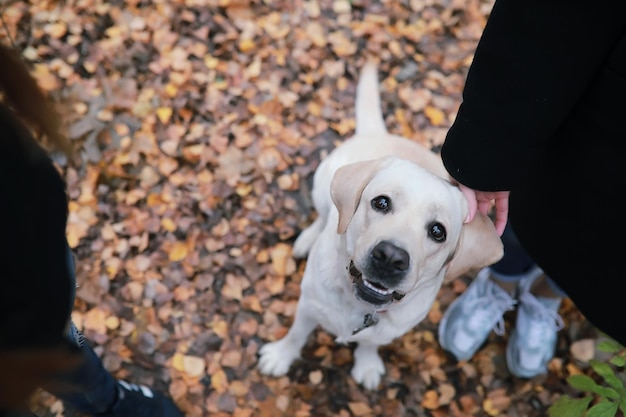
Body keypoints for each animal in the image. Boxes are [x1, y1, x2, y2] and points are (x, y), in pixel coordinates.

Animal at [256, 62, 500, 390]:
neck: (361, 308)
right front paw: (281, 355)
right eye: (381, 202)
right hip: (323, 183)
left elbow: (370, 343)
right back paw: (308, 238)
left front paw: (367, 364)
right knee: (323, 214)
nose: (390, 258)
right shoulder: (308, 304)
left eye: (438, 232)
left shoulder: (385, 332)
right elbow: (297, 333)